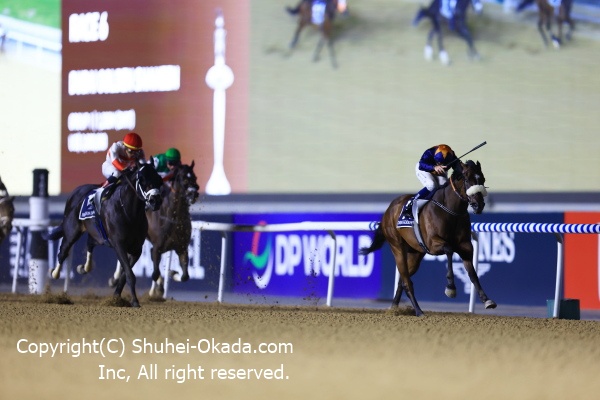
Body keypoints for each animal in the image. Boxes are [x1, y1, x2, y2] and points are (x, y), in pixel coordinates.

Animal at [45, 161, 163, 307]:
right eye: (141, 179)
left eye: (159, 179)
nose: (155, 201)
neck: (130, 213)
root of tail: (75, 193)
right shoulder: (119, 245)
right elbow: (129, 274)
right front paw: (134, 301)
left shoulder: (136, 249)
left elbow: (125, 274)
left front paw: (116, 297)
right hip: (72, 231)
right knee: (63, 252)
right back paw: (55, 273)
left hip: (98, 235)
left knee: (89, 242)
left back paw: (84, 267)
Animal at [109, 162, 200, 298]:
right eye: (184, 178)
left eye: (195, 178)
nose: (193, 194)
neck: (173, 219)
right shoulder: (157, 248)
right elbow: (155, 273)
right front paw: (155, 291)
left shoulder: (182, 248)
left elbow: (185, 276)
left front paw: (173, 273)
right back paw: (114, 278)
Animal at [359, 160, 496, 317]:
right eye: (467, 180)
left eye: (482, 180)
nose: (479, 205)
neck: (451, 211)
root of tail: (388, 211)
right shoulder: (433, 244)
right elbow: (449, 250)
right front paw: (450, 288)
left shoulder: (465, 246)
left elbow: (473, 274)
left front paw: (487, 300)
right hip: (397, 247)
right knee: (407, 281)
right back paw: (419, 311)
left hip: (415, 253)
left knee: (402, 280)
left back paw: (394, 308)